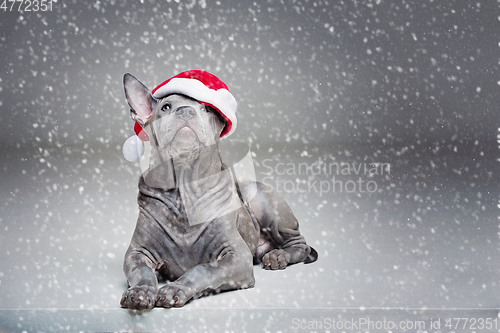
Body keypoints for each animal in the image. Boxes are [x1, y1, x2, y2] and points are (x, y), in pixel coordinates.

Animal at [120, 72, 316, 308]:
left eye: (206, 108)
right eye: (165, 107)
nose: (186, 111)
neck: (183, 192)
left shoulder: (236, 256)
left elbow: (203, 270)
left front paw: (176, 288)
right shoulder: (137, 253)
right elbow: (142, 272)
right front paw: (139, 292)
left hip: (263, 201)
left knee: (300, 244)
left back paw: (279, 256)